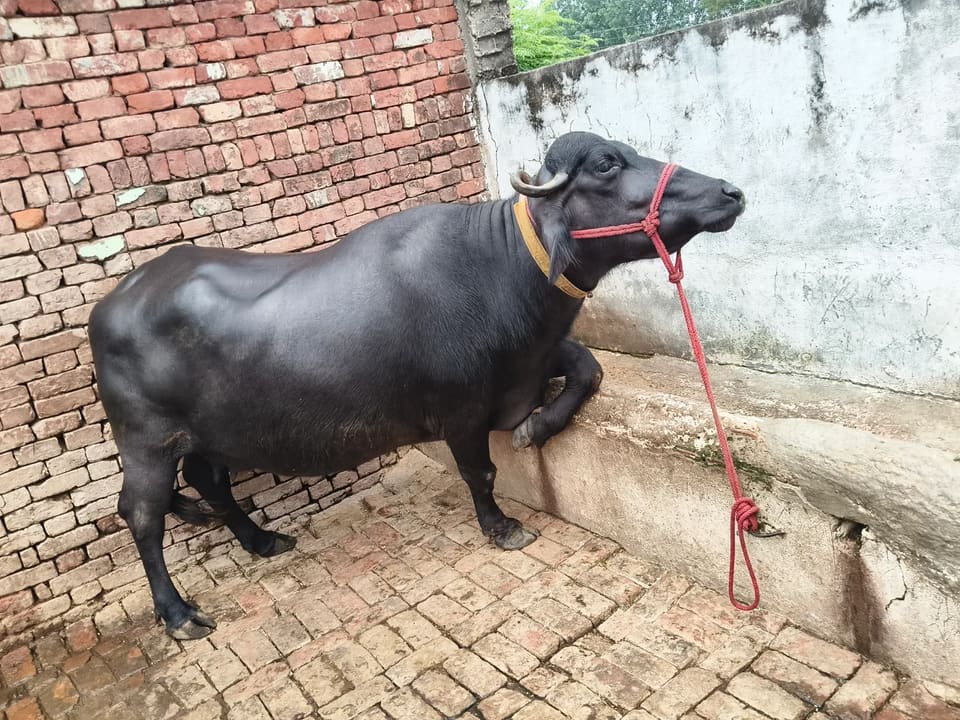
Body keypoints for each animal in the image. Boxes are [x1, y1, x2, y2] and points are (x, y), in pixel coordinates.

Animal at [88, 131, 745, 639]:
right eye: (607, 164)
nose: (730, 192)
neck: (501, 267)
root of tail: (109, 306)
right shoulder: (462, 408)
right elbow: (480, 471)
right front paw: (502, 527)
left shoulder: (531, 361)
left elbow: (589, 367)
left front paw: (537, 426)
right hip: (146, 441)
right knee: (142, 515)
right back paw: (178, 614)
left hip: (209, 435)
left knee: (210, 484)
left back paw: (262, 540)